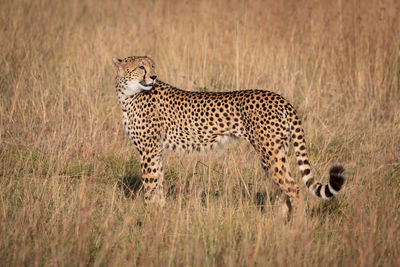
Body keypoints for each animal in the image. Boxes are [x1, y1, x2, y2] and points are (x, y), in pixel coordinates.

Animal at [111, 56, 344, 216]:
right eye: (141, 67)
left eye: (152, 66)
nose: (153, 76)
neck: (128, 95)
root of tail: (279, 97)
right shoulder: (155, 150)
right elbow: (158, 181)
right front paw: (160, 211)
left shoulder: (148, 151)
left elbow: (150, 183)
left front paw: (149, 215)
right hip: (277, 152)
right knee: (283, 188)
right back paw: (279, 222)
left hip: (269, 152)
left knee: (293, 188)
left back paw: (296, 226)